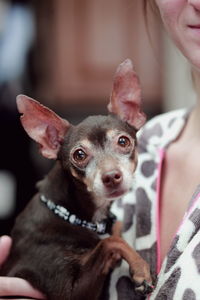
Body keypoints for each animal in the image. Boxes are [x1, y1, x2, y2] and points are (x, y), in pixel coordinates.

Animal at [0, 59, 153, 300]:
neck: (70, 214)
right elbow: (112, 242)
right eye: (79, 155)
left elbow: (112, 237)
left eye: (123, 141)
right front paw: (140, 269)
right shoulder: (70, 291)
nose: (111, 177)